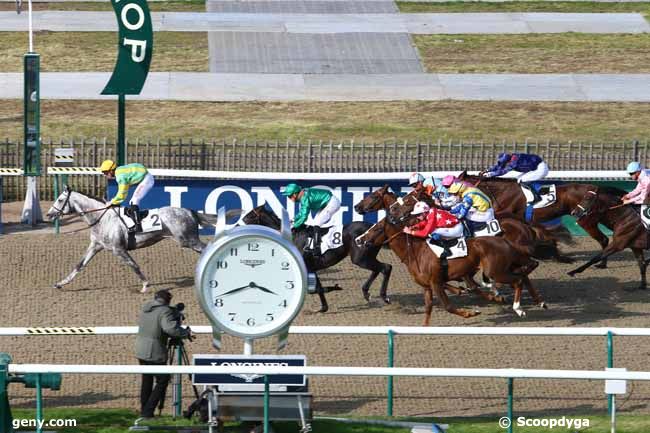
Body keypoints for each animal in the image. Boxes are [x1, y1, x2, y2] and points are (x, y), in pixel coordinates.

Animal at [46, 184, 218, 292]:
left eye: (60, 200)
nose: (49, 214)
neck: (102, 218)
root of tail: (189, 212)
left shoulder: (118, 249)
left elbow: (133, 265)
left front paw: (145, 285)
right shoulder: (95, 246)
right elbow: (79, 265)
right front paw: (60, 284)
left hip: (188, 240)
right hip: (188, 241)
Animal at [239, 204, 388, 312]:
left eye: (248, 217)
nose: (237, 226)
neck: (293, 237)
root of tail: (374, 228)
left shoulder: (307, 268)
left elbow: (313, 289)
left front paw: (334, 288)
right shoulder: (311, 268)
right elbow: (318, 287)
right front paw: (324, 306)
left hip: (360, 258)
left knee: (386, 267)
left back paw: (383, 296)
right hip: (365, 257)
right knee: (378, 269)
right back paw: (366, 292)